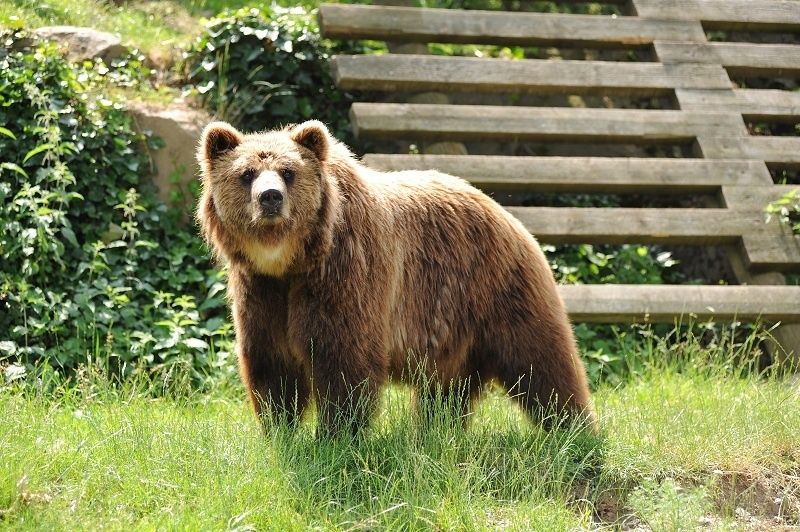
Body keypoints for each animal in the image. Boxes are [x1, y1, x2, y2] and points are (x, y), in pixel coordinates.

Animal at [195, 120, 592, 436]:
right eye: (246, 173)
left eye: (289, 172)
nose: (270, 198)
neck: (292, 262)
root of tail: (503, 210)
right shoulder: (261, 290)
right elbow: (271, 364)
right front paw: (280, 431)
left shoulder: (346, 274)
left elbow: (344, 359)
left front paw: (336, 436)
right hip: (453, 330)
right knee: (447, 390)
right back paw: (436, 432)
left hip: (496, 286)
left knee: (541, 360)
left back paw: (573, 430)